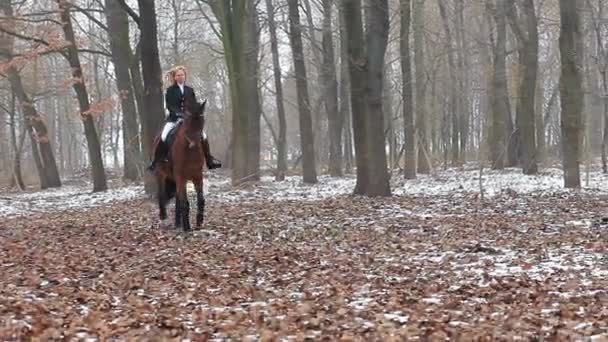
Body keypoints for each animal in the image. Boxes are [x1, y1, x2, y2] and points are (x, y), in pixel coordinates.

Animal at [152, 100, 207, 231]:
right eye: (189, 121)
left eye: (202, 120)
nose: (195, 144)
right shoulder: (181, 176)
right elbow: (184, 202)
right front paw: (187, 227)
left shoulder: (197, 176)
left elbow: (200, 199)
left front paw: (199, 222)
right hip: (160, 174)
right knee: (161, 194)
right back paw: (164, 217)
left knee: (177, 198)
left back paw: (178, 222)